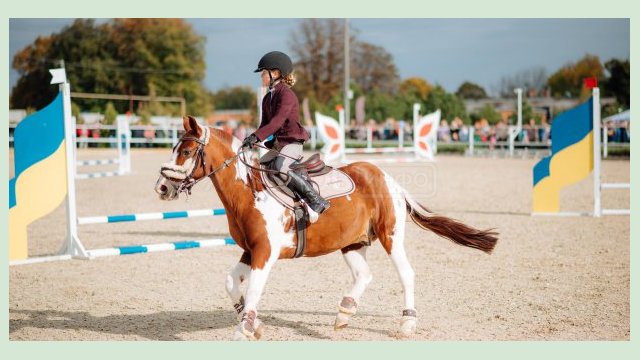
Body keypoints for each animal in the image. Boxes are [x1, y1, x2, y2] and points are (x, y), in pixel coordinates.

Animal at [155, 116, 500, 340]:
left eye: (186, 152)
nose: (161, 188)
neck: (248, 191)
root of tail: (385, 177)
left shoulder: (265, 253)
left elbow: (253, 290)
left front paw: (245, 331)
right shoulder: (250, 250)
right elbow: (231, 284)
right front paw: (253, 324)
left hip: (390, 236)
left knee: (406, 274)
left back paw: (407, 325)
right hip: (352, 242)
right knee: (364, 275)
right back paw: (344, 313)